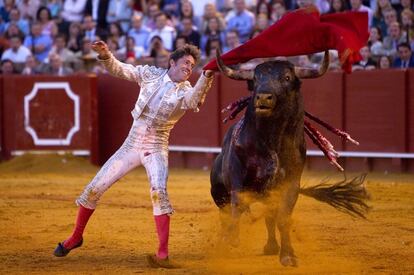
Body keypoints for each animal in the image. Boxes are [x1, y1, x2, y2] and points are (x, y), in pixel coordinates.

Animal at [210, 50, 368, 268]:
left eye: (286, 78)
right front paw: (232, 240)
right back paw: (225, 242)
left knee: (269, 216)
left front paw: (287, 255)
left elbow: (283, 219)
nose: (263, 97)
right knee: (227, 214)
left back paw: (271, 247)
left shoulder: (290, 185)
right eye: (256, 79)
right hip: (218, 191)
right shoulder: (237, 179)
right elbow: (237, 207)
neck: (272, 138)